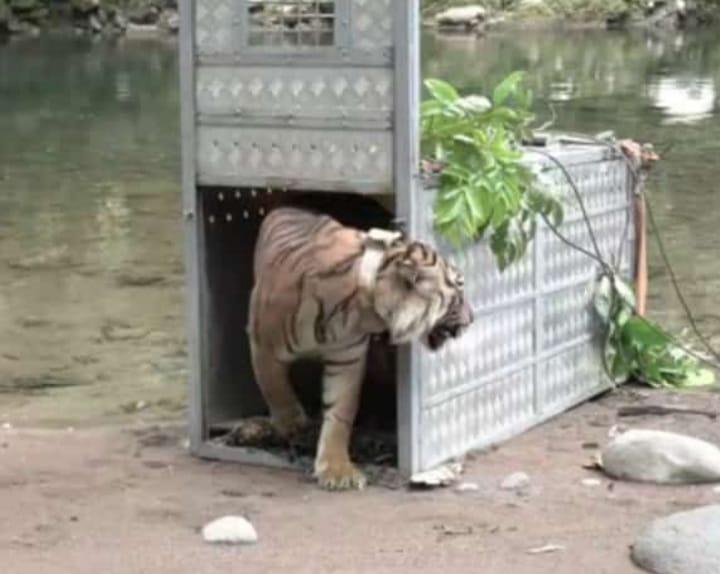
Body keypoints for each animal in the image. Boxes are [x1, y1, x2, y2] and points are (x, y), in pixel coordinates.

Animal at [248, 207, 472, 490]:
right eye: (459, 291)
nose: (472, 318)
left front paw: (337, 469)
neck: (362, 309)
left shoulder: (347, 359)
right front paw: (292, 423)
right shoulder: (263, 343)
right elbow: (274, 386)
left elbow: (340, 414)